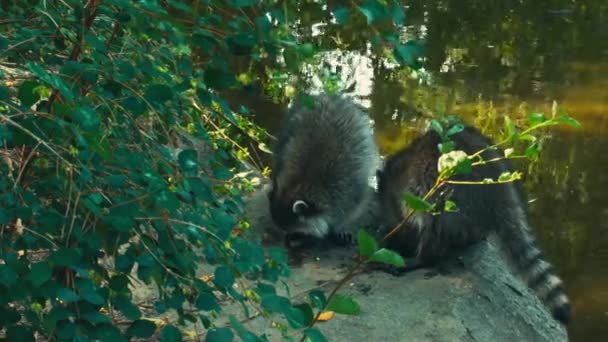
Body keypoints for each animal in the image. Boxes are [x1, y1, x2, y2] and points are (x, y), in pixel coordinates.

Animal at [268, 94, 380, 246]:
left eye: (296, 233)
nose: (286, 243)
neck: (301, 184)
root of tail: (329, 96)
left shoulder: (352, 188)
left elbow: (352, 210)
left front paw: (341, 227)